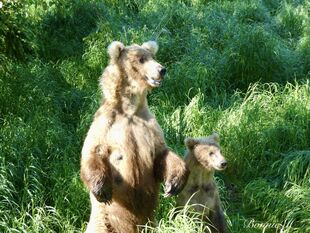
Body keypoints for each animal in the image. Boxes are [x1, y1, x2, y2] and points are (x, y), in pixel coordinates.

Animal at [80, 41, 189, 232]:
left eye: (153, 56)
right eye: (141, 59)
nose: (162, 69)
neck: (129, 110)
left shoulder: (149, 126)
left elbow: (162, 153)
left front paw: (174, 184)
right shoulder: (106, 124)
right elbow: (93, 151)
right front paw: (102, 190)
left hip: (150, 222)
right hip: (103, 222)